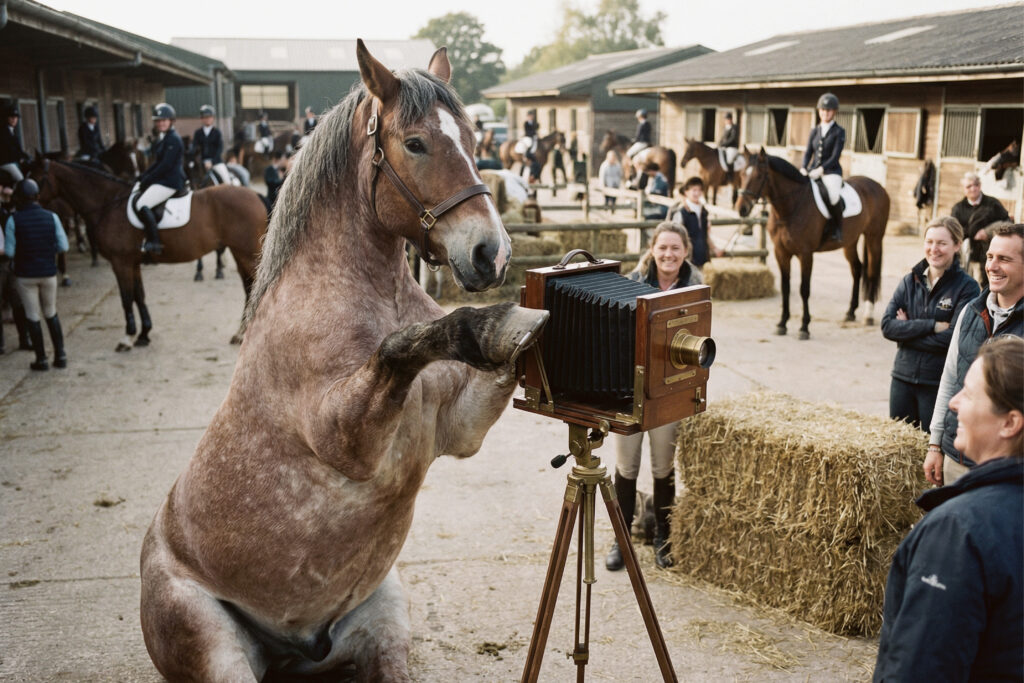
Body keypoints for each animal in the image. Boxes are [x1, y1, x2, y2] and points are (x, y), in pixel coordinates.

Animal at [27, 159, 268, 350]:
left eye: (37, 178)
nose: (24, 205)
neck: (108, 203)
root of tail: (255, 195)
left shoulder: (120, 262)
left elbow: (126, 299)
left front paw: (127, 338)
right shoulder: (132, 263)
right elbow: (139, 296)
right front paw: (143, 335)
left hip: (246, 252)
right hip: (240, 253)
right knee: (249, 288)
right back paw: (240, 334)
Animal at [138, 40, 548, 681]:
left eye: (473, 138)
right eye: (416, 143)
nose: (492, 254)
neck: (355, 291)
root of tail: (290, 654)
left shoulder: (459, 429)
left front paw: (520, 324)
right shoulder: (347, 437)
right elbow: (400, 347)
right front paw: (483, 323)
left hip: (385, 612)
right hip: (211, 642)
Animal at [735, 149, 890, 340]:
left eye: (759, 176)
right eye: (742, 174)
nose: (741, 209)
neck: (791, 207)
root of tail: (877, 186)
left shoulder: (806, 254)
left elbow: (804, 289)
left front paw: (804, 327)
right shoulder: (781, 252)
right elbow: (785, 287)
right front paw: (782, 323)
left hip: (874, 238)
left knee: (872, 272)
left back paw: (868, 315)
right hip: (850, 241)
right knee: (857, 269)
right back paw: (850, 312)